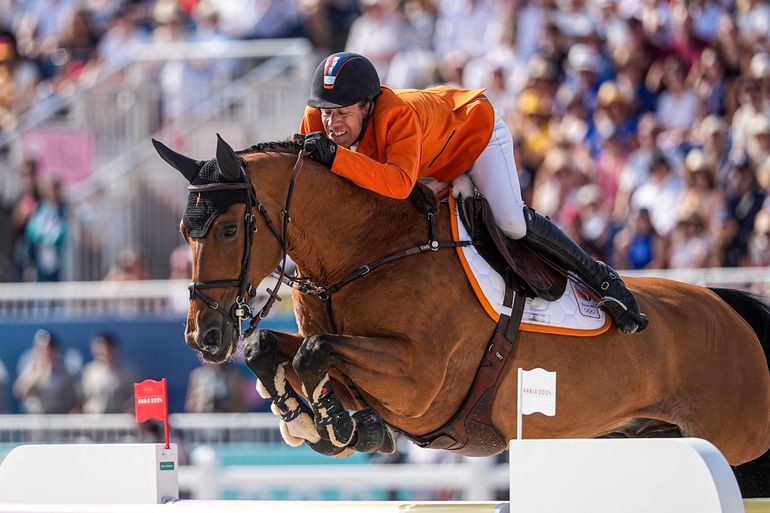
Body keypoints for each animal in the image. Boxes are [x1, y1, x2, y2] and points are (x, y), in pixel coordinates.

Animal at [153, 136, 768, 496]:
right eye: (184, 231)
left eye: (228, 230)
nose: (203, 337)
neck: (364, 251)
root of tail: (728, 307)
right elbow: (275, 350)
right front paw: (314, 421)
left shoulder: (420, 382)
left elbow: (315, 354)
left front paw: (336, 424)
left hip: (739, 443)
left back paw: (619, 297)